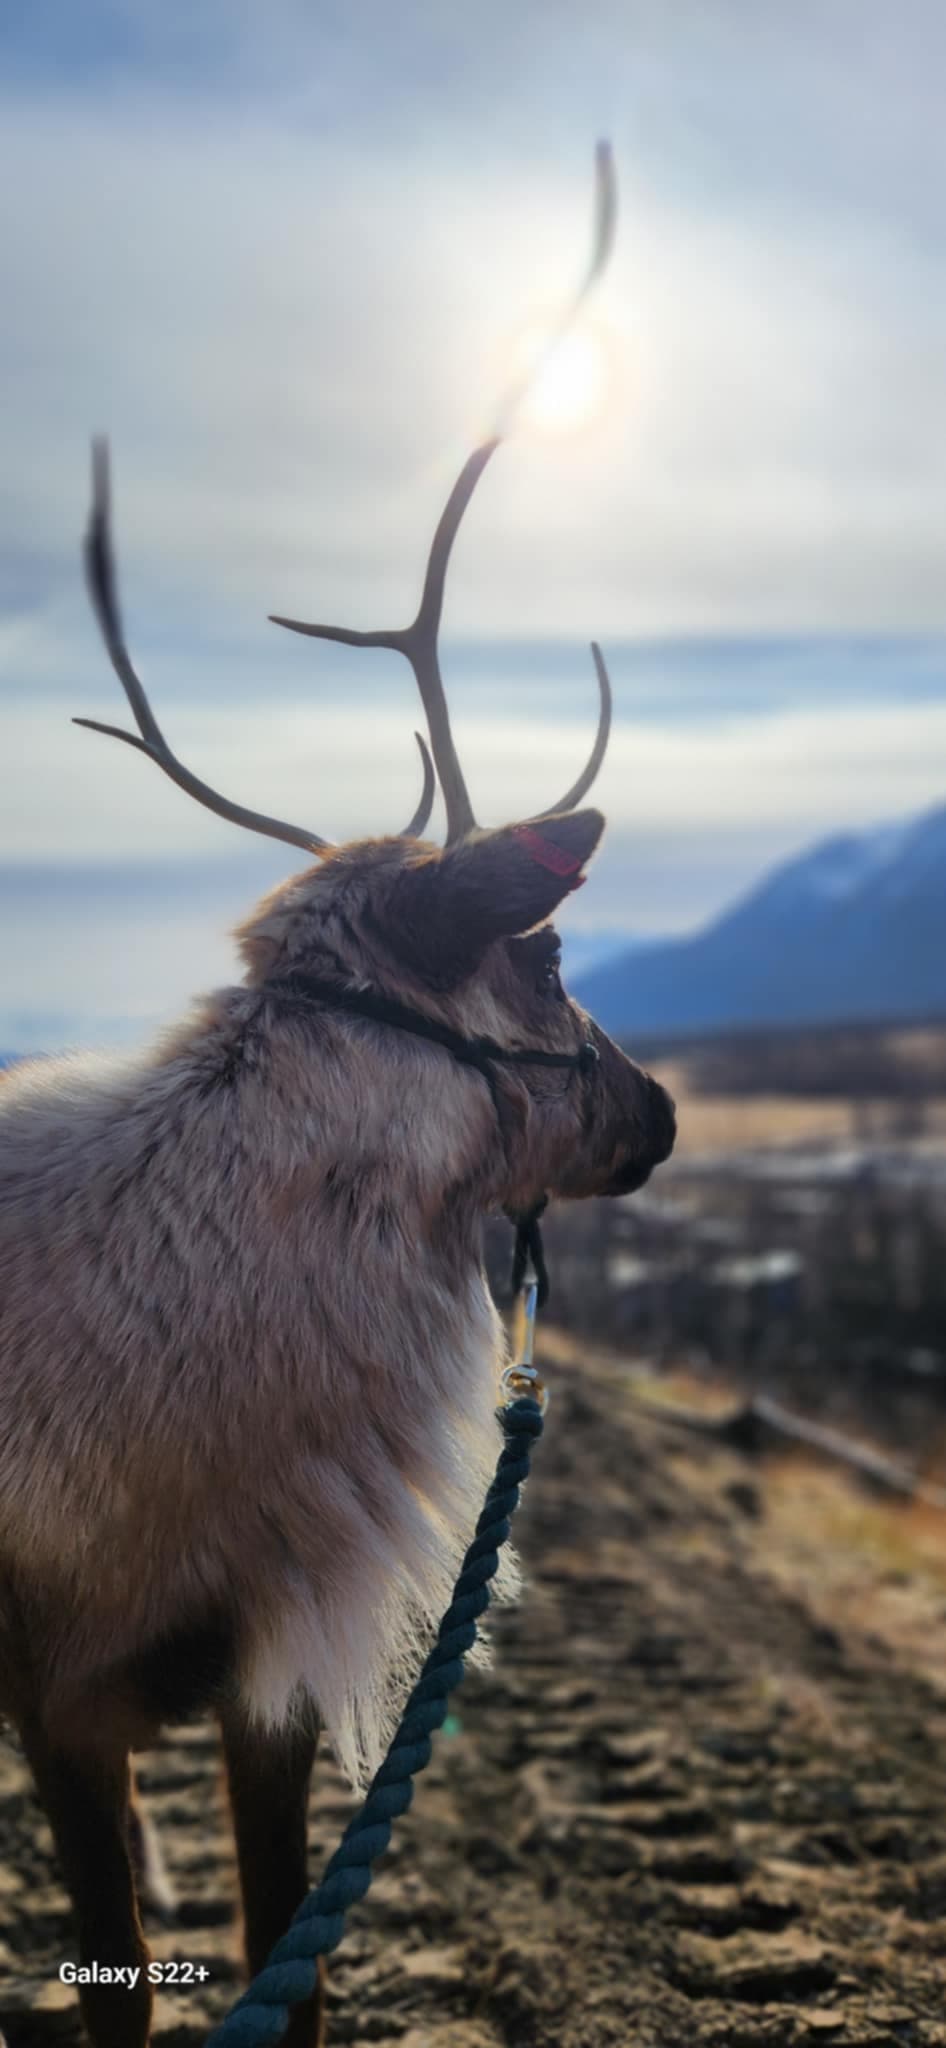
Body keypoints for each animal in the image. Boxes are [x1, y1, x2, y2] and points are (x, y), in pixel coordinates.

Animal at [0, 174, 676, 2048]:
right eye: (550, 944)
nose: (661, 1109)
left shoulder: (266, 1678)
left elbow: (285, 1971)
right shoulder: (58, 1699)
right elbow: (123, 1992)